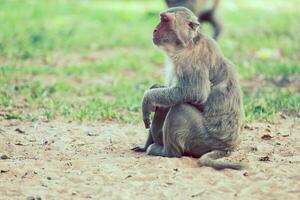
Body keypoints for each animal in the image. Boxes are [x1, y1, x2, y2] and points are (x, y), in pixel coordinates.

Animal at [132, 7, 245, 170]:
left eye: (165, 20)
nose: (154, 30)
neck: (186, 45)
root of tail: (227, 147)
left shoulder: (192, 60)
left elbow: (194, 93)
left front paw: (147, 99)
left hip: (204, 140)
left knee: (180, 108)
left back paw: (166, 152)